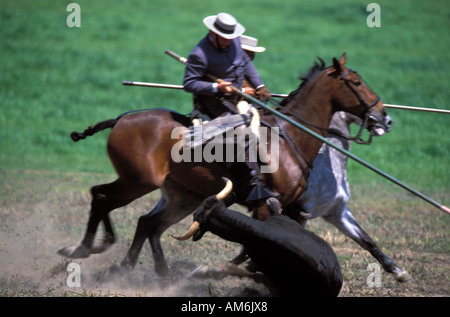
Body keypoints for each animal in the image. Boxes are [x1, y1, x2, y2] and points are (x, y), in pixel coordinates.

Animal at [57, 53, 390, 274]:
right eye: (356, 82)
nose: (383, 117)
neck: (287, 138)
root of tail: (121, 120)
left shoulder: (293, 210)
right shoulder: (266, 206)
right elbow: (259, 246)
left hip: (179, 195)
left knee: (145, 222)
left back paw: (143, 269)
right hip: (137, 181)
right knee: (101, 197)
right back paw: (87, 248)